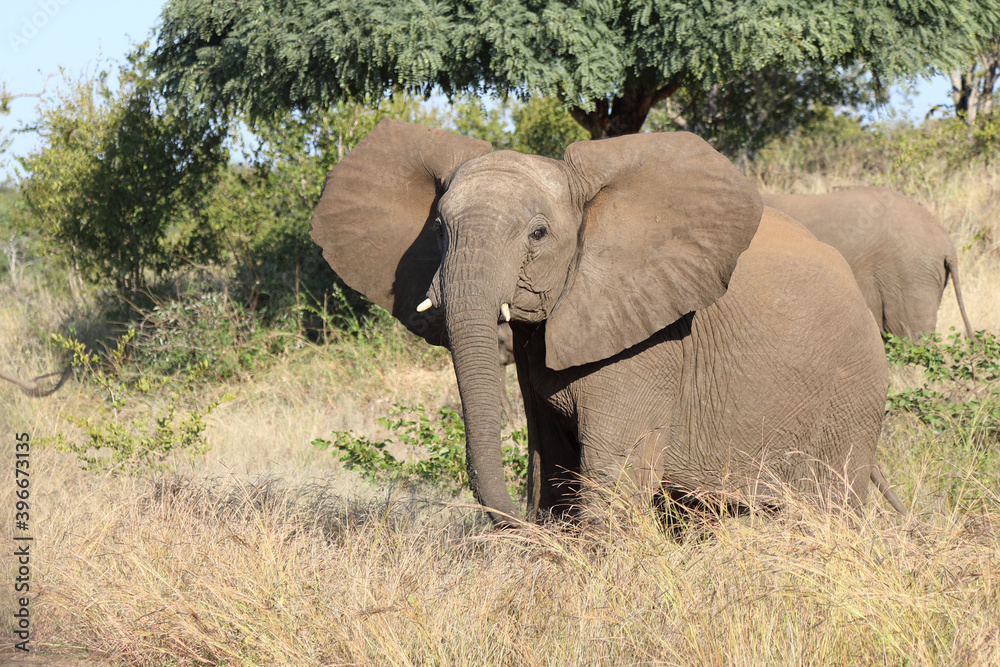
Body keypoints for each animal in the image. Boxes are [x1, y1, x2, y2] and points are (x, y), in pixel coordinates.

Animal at [310, 120, 908, 528]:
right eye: (437, 228)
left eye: (538, 234)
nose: (522, 520)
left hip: (847, 407)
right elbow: (555, 465)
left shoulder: (653, 341)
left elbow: (610, 482)